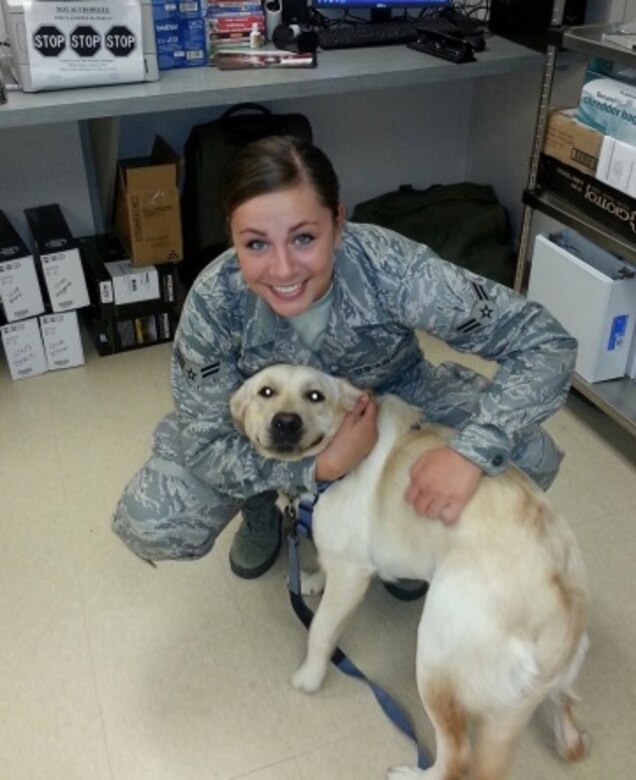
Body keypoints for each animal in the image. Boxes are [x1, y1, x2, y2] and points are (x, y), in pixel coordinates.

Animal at [230, 366, 592, 780]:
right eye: (266, 392)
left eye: (315, 396)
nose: (286, 422)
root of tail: (562, 615)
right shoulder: (340, 555)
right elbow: (323, 563)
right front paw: (312, 580)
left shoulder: (352, 574)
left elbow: (321, 629)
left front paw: (311, 675)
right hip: (546, 684)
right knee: (568, 723)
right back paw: (570, 737)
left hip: (434, 659)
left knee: (457, 757)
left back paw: (415, 775)